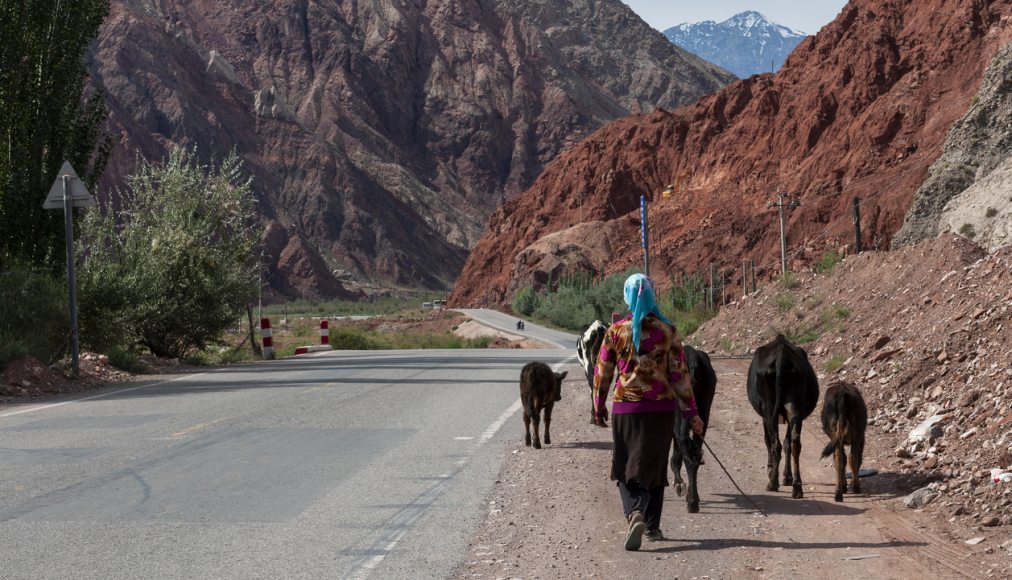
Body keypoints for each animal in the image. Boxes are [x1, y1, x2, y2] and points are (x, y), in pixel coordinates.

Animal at [667, 344, 716, 510]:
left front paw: (678, 483)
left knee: (684, 445)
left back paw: (691, 500)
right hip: (704, 411)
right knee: (694, 449)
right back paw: (693, 498)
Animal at [748, 334, 817, 498]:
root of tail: (782, 355)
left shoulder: (764, 415)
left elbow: (768, 440)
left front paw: (771, 469)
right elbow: (787, 443)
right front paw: (787, 476)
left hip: (769, 408)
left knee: (775, 444)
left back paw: (772, 482)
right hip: (794, 407)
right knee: (795, 444)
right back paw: (797, 487)